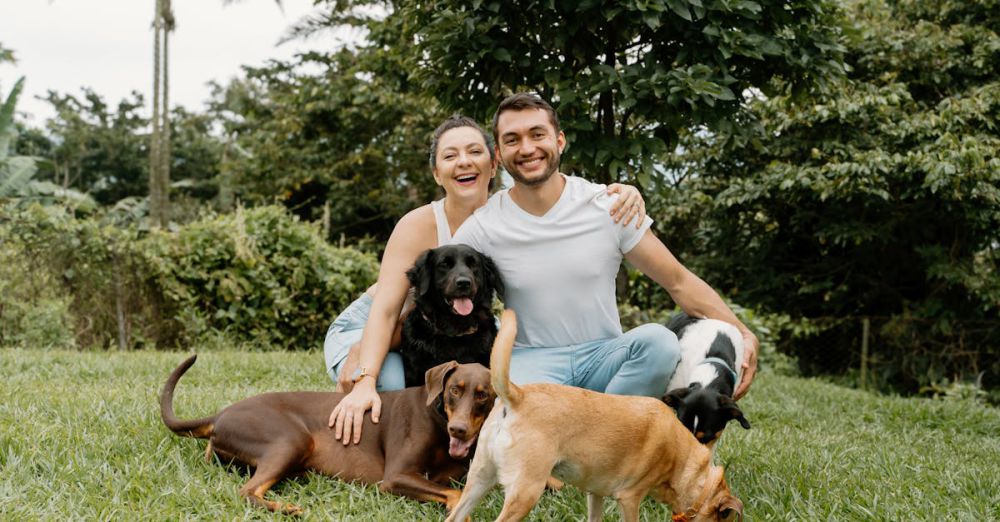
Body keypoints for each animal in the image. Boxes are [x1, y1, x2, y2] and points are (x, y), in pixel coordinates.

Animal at [157, 354, 496, 512]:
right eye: (454, 390)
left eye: (483, 395)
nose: (459, 429)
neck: (439, 420)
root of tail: (220, 414)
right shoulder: (395, 477)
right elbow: (456, 493)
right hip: (290, 440)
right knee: (247, 492)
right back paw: (287, 509)